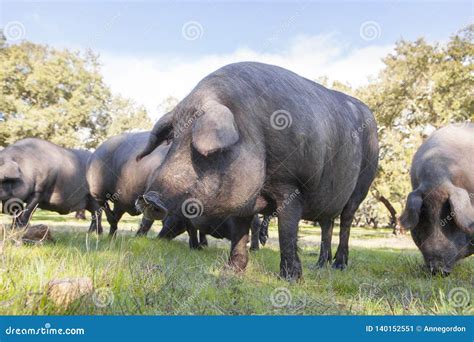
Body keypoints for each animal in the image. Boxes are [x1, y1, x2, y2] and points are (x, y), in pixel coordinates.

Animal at [136, 62, 378, 280]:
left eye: (203, 151)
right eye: (172, 141)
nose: (149, 198)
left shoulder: (291, 184)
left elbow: (287, 232)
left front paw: (290, 279)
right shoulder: (242, 201)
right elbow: (239, 235)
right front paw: (230, 272)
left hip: (362, 186)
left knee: (345, 222)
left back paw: (339, 266)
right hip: (327, 199)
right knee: (327, 225)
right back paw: (319, 266)